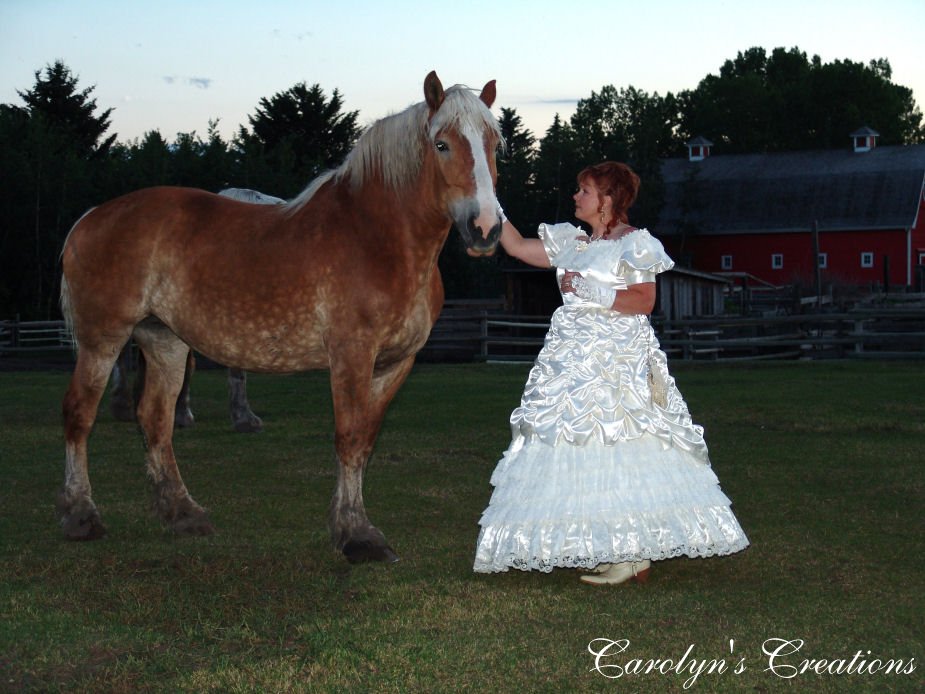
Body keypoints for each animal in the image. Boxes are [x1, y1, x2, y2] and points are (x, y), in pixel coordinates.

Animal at [57, 70, 502, 564]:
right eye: (442, 144)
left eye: (494, 144)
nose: (486, 228)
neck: (379, 238)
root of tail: (91, 217)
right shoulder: (351, 354)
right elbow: (348, 438)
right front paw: (357, 535)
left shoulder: (396, 363)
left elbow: (365, 440)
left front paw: (349, 525)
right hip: (103, 340)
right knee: (79, 414)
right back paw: (80, 516)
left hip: (164, 341)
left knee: (156, 419)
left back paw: (183, 514)